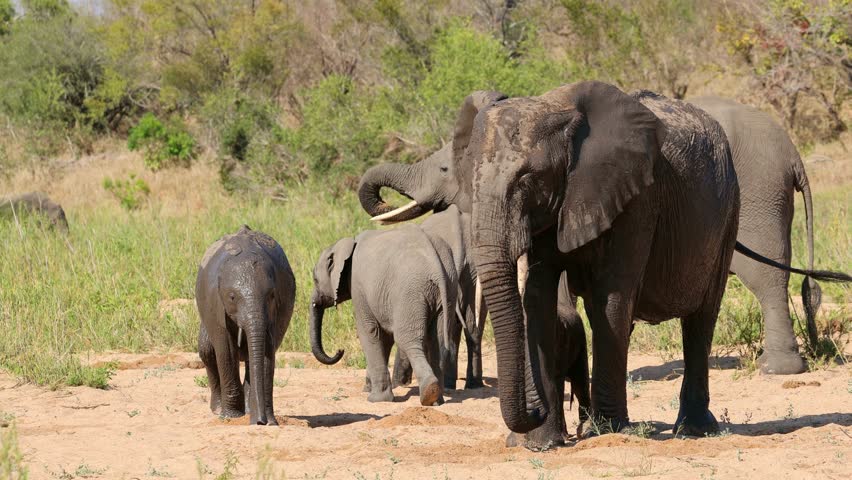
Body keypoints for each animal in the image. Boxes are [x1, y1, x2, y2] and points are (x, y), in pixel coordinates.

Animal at [195, 225, 295, 426]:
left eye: (271, 296)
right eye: (232, 297)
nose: (260, 421)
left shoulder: (275, 311)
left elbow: (266, 351)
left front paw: (269, 421)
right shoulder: (215, 304)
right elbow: (226, 350)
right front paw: (231, 417)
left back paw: (248, 410)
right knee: (207, 351)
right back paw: (219, 410)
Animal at [309, 206, 482, 405]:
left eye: (315, 279)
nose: (340, 349)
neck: (348, 243)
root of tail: (434, 260)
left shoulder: (359, 287)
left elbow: (370, 332)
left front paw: (376, 399)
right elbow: (384, 337)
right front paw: (369, 389)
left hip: (410, 291)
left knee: (408, 338)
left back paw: (428, 393)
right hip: (447, 288)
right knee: (437, 339)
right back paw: (436, 399)